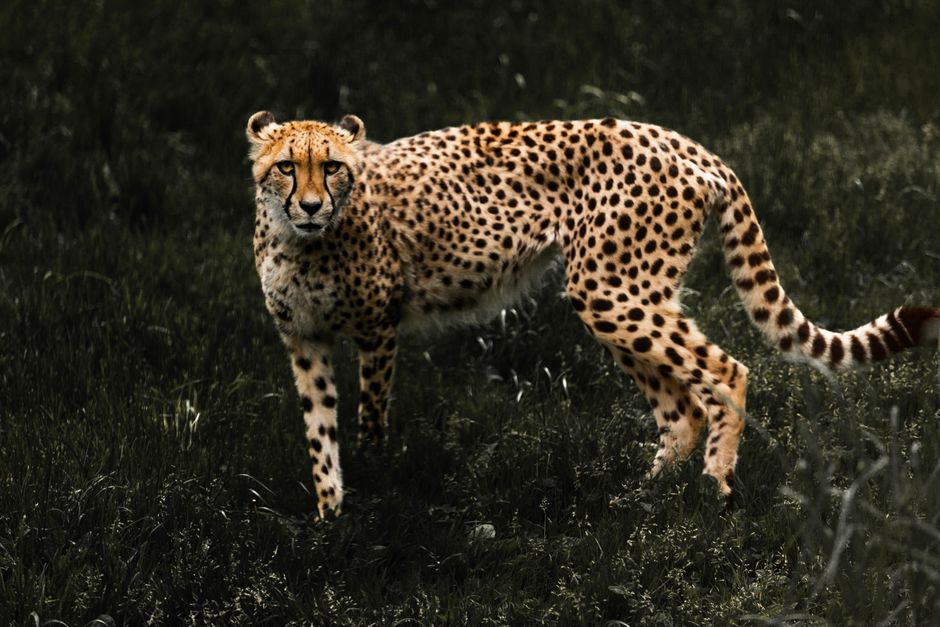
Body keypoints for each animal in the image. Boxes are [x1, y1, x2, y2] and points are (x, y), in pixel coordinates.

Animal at [246, 110, 940, 518]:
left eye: (333, 167)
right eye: (285, 167)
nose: (311, 204)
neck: (302, 241)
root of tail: (677, 137)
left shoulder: (378, 328)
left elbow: (368, 419)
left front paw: (372, 482)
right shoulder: (302, 340)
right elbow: (318, 432)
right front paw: (329, 520)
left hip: (610, 288)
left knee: (728, 371)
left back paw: (715, 480)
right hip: (624, 293)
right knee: (681, 410)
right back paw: (644, 498)